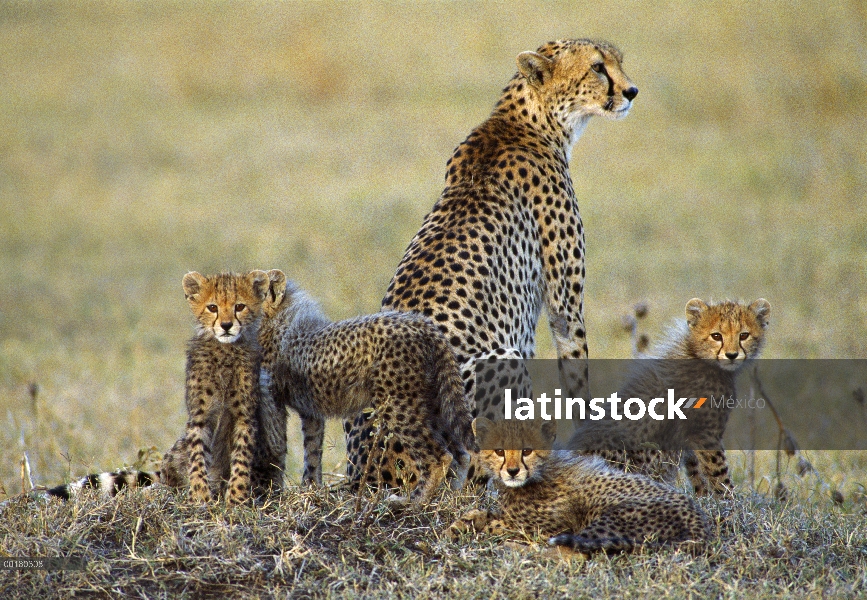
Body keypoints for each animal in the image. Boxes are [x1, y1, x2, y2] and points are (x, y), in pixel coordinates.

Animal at [46, 270, 288, 502]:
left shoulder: (244, 417)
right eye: (213, 307)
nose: (226, 325)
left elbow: (241, 459)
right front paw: (200, 497)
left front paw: (237, 499)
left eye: (239, 306)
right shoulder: (199, 416)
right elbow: (198, 457)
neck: (225, 350)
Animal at [260, 270, 474, 502]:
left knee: (439, 456)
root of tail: (424, 324)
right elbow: (312, 448)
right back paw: (451, 496)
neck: (277, 318)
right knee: (461, 454)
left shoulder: (272, 399)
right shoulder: (309, 408)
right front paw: (311, 488)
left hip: (397, 403)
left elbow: (277, 445)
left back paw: (411, 502)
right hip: (431, 401)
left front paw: (273, 491)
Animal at [448, 418, 712, 552]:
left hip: (611, 517)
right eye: (500, 451)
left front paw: (468, 526)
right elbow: (483, 514)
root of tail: (699, 521)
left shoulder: (547, 526)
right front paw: (460, 524)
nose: (513, 471)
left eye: (527, 451)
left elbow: (498, 524)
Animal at [568, 298, 772, 494]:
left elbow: (696, 472)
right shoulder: (705, 433)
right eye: (716, 336)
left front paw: (704, 498)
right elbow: (719, 474)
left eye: (743, 335)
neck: (698, 355)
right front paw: (730, 502)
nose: (731, 355)